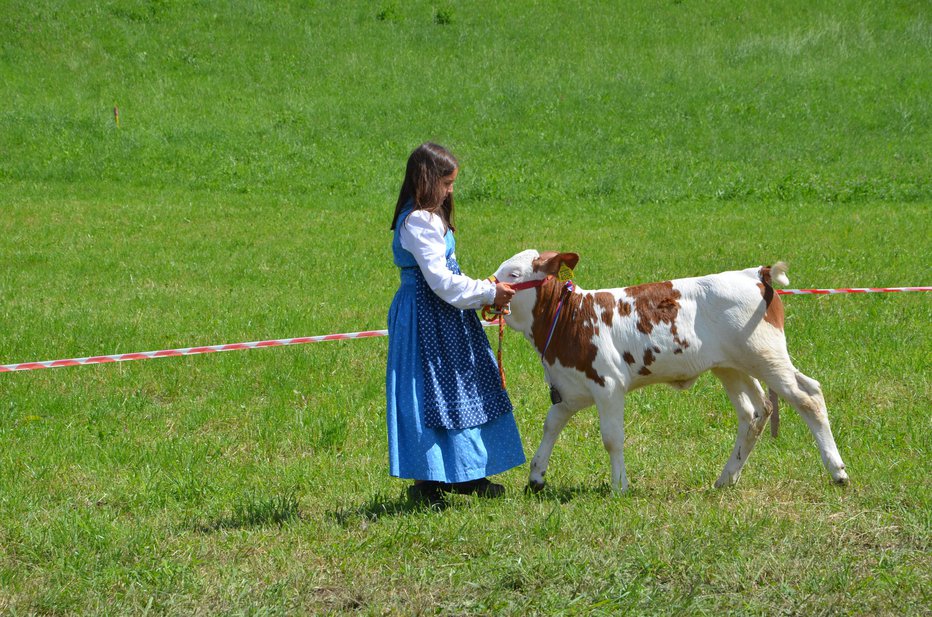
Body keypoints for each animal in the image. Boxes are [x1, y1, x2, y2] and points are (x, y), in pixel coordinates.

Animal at [498, 248, 848, 494]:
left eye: (513, 273)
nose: (491, 287)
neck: (571, 317)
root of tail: (754, 274)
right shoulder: (570, 390)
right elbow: (551, 425)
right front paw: (536, 476)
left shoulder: (609, 385)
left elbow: (612, 438)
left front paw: (619, 486)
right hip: (732, 366)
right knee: (756, 412)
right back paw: (726, 478)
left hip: (766, 357)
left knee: (808, 397)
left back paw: (838, 471)